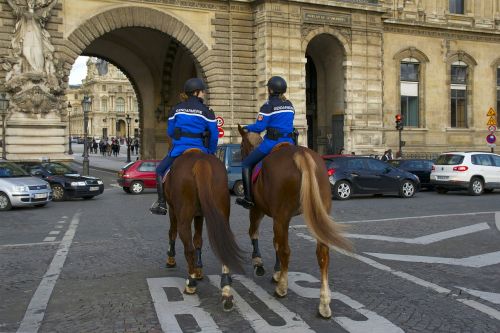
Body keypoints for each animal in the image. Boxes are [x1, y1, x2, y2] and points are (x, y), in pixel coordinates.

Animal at [162, 149, 244, 310]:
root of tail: (201, 161)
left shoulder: (173, 210)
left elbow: (172, 233)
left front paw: (171, 259)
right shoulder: (200, 215)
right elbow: (198, 239)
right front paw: (198, 269)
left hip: (183, 217)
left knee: (188, 248)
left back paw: (190, 283)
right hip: (221, 213)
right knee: (222, 245)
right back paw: (226, 291)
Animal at [237, 124, 352, 316]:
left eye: (240, 146)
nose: (241, 158)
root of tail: (301, 155)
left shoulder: (258, 209)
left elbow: (256, 233)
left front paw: (259, 263)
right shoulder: (278, 217)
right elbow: (275, 242)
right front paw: (277, 271)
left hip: (280, 215)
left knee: (286, 250)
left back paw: (282, 289)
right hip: (315, 215)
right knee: (323, 254)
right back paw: (324, 303)